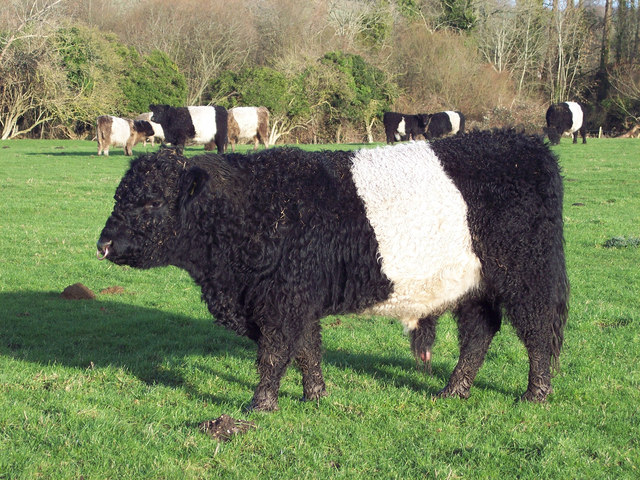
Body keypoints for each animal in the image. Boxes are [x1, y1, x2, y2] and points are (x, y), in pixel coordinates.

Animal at [97, 129, 568, 410]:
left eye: (151, 202)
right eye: (120, 195)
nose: (103, 245)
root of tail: (526, 143)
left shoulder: (282, 300)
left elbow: (274, 354)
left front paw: (259, 404)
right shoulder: (298, 299)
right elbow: (307, 350)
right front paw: (315, 397)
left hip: (525, 274)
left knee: (537, 331)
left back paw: (535, 394)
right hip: (474, 284)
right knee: (478, 335)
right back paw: (453, 390)